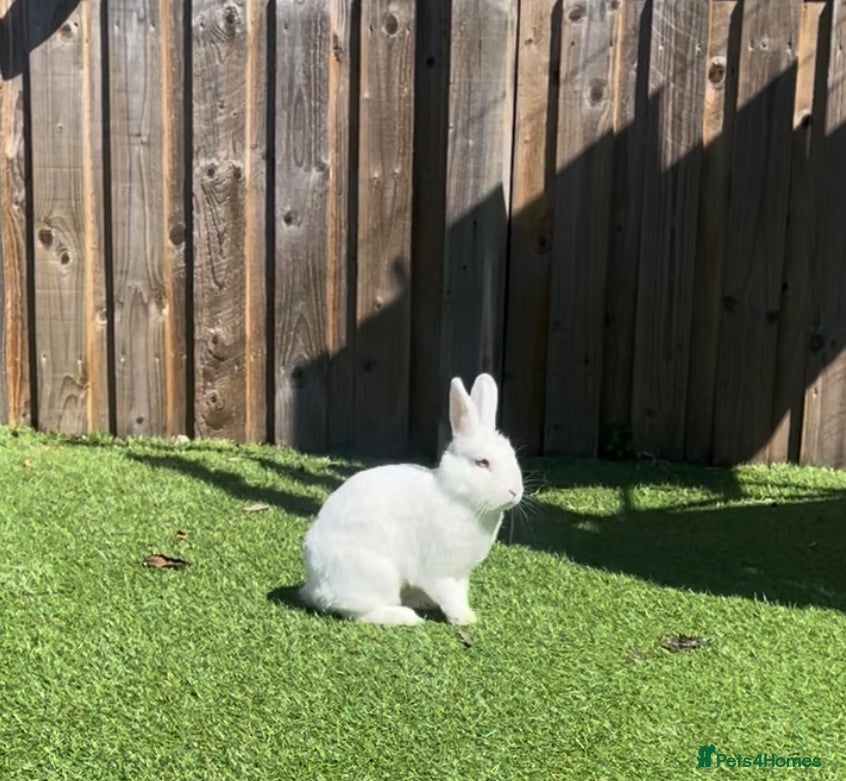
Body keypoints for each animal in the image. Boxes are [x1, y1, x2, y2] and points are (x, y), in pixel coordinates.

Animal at [299, 373, 524, 626]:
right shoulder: (441, 571)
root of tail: (314, 589)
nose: (515, 491)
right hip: (377, 576)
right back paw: (407, 617)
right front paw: (465, 619)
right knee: (359, 613)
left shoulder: (461, 573)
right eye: (482, 463)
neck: (456, 497)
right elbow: (451, 596)